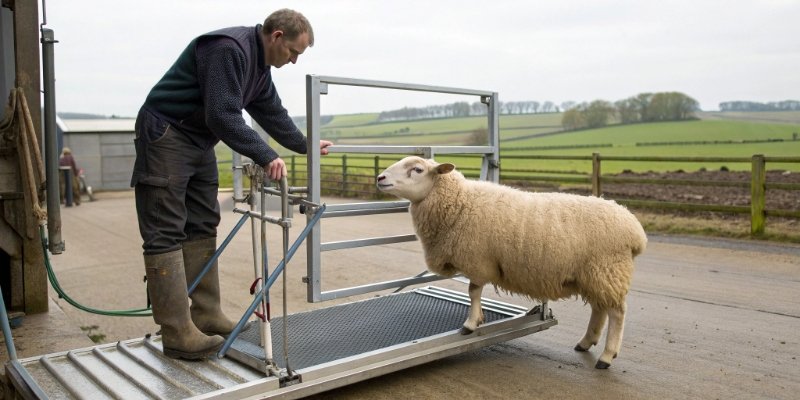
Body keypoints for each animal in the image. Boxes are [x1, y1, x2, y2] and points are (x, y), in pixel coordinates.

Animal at [376, 156, 647, 369]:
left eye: (417, 169)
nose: (380, 178)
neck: (460, 202)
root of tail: (635, 230)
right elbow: (474, 291)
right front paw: (476, 320)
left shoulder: (478, 259)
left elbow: (473, 290)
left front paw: (470, 324)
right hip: (594, 275)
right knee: (599, 309)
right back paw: (585, 342)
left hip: (607, 270)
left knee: (617, 313)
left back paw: (606, 356)